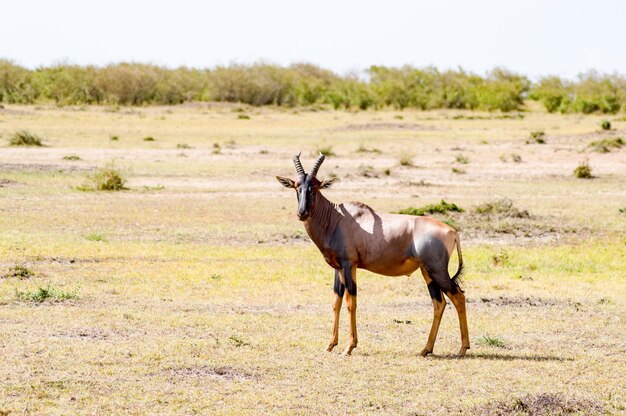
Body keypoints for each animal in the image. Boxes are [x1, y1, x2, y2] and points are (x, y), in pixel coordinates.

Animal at [274, 154, 468, 356]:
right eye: (297, 186)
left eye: (315, 188)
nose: (302, 213)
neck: (338, 219)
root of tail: (452, 231)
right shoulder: (338, 268)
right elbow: (336, 301)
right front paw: (330, 345)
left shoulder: (349, 265)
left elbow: (351, 302)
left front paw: (349, 347)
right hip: (427, 272)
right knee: (439, 303)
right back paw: (426, 349)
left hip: (437, 271)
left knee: (458, 297)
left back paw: (462, 349)